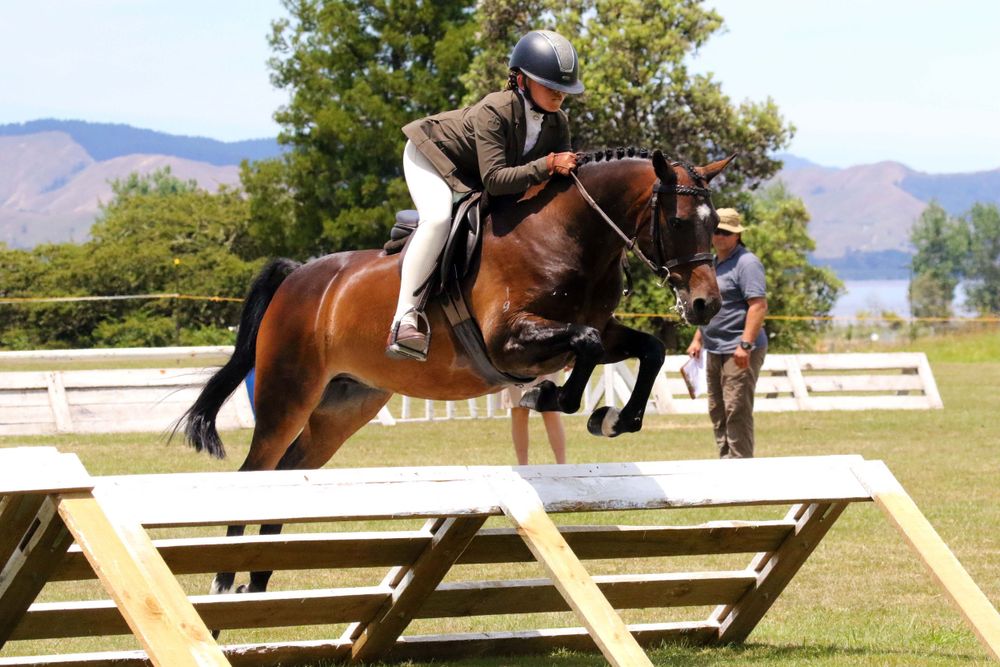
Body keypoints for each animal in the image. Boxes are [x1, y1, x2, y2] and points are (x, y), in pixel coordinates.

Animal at [181, 148, 733, 596]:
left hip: (345, 406)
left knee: (291, 474)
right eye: (679, 222)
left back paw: (258, 580)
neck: (569, 236)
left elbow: (646, 350)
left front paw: (613, 419)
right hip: (288, 393)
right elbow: (586, 347)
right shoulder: (508, 341)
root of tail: (297, 276)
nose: (705, 305)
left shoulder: (600, 328)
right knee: (255, 472)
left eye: (713, 225)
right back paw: (224, 580)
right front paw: (550, 398)